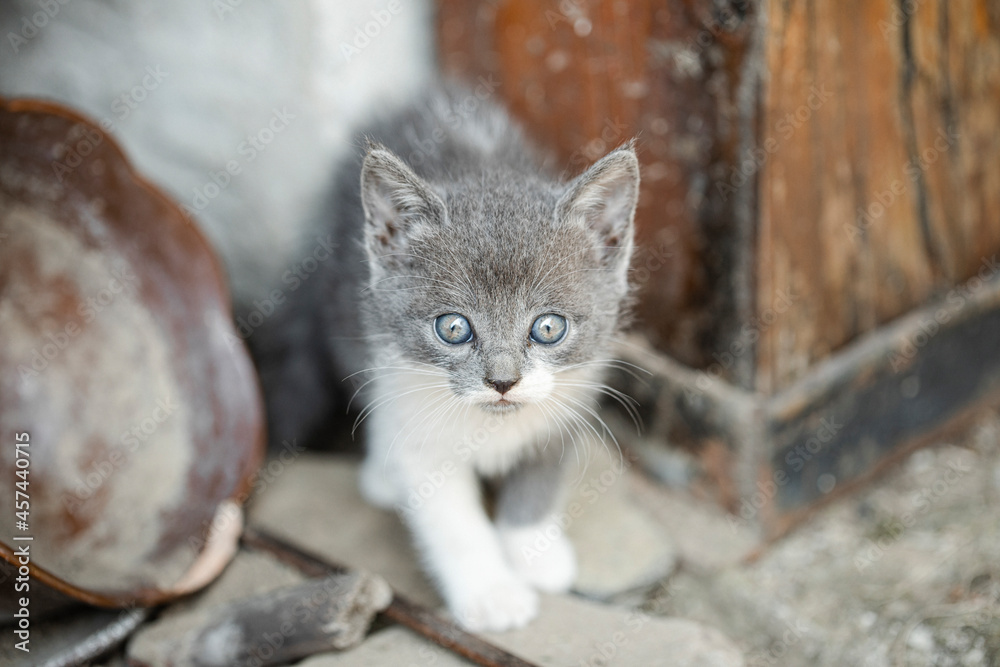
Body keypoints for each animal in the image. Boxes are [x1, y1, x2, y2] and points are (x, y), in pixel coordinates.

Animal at [258, 83, 640, 632]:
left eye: (548, 328)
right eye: (454, 328)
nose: (502, 381)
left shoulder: (572, 396)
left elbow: (540, 475)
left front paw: (534, 552)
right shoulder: (419, 431)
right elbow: (452, 521)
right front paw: (492, 594)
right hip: (349, 312)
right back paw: (383, 474)